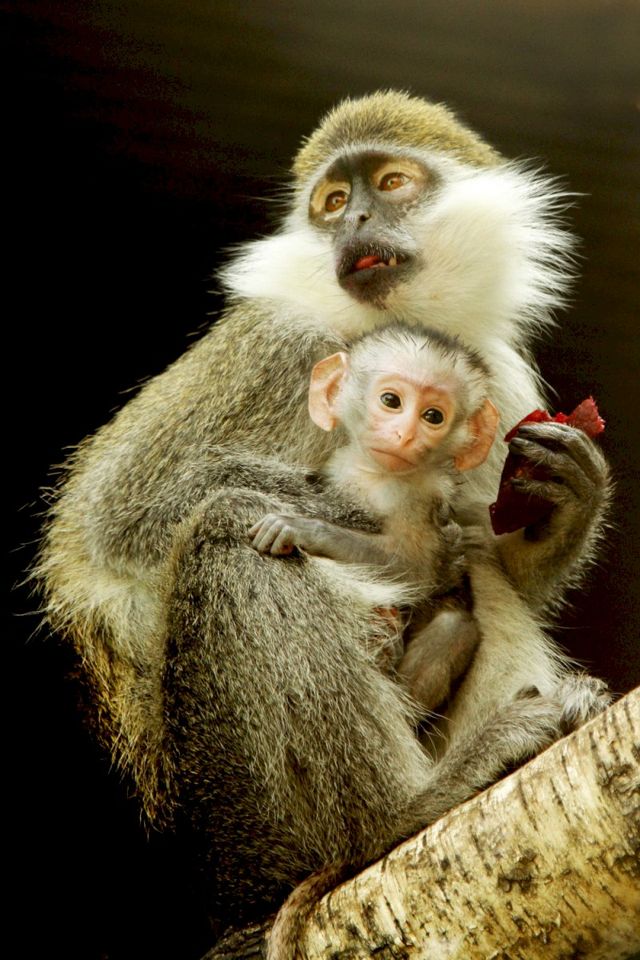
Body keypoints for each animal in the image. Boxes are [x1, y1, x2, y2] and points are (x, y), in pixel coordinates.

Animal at [36, 91, 611, 943]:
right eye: (334, 202)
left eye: (392, 182)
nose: (358, 220)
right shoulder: (280, 347)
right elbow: (126, 518)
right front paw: (375, 526)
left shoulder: (499, 382)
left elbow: (503, 556)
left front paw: (568, 503)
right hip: (246, 817)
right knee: (231, 532)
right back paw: (402, 811)